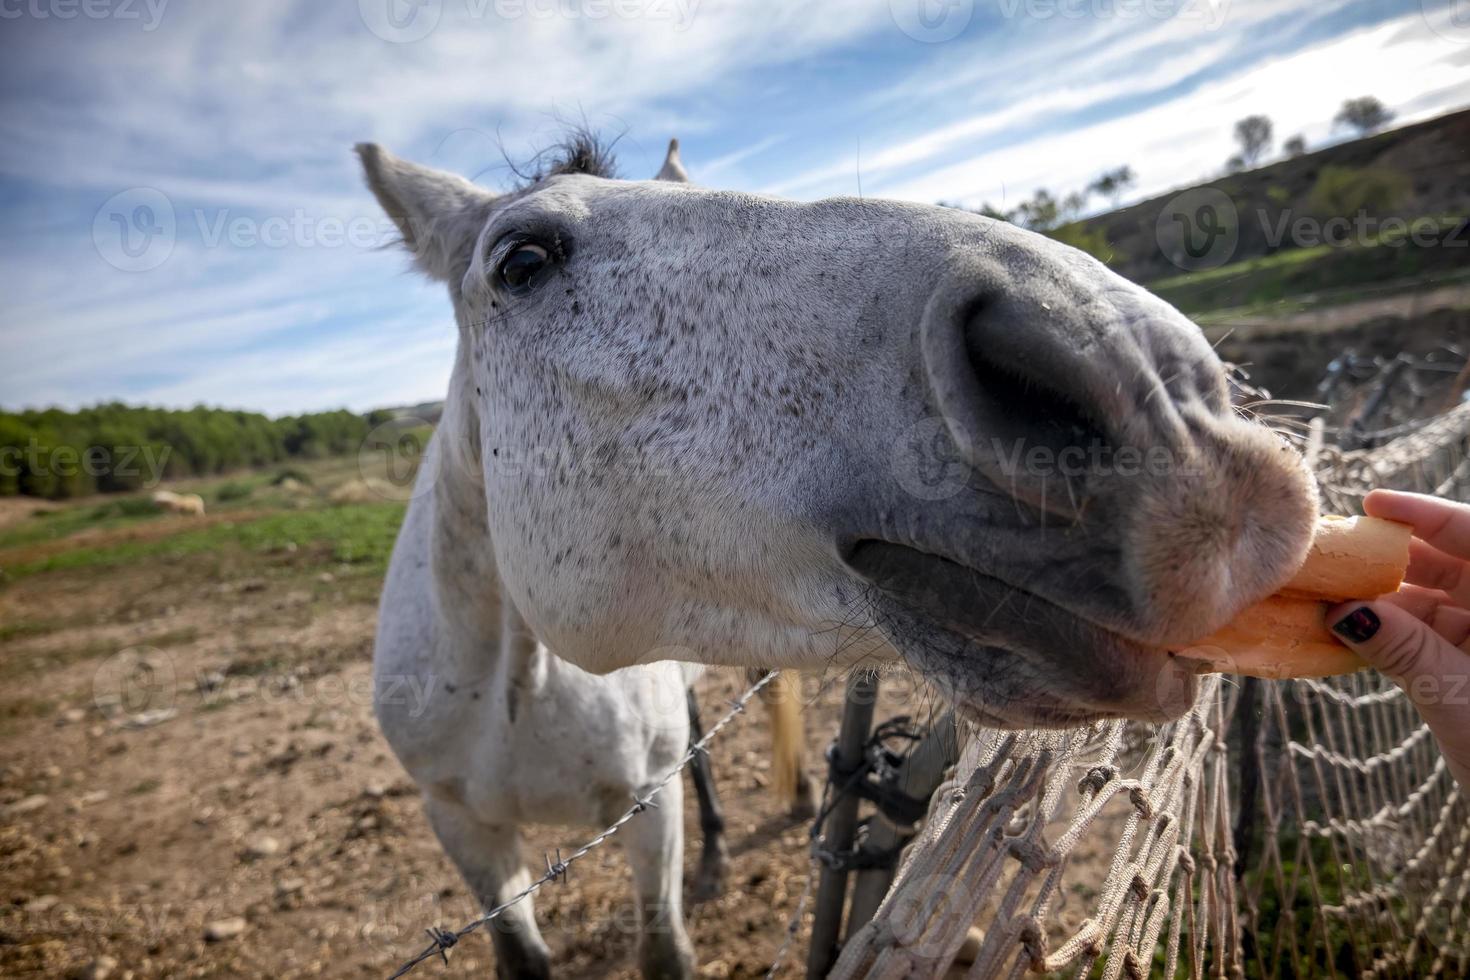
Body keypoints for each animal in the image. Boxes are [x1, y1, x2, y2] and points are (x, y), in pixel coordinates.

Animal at [358, 138, 1323, 980]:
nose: (1160, 391)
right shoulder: (463, 832)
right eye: (521, 262)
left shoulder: (648, 809)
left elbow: (664, 944)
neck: (516, 685)